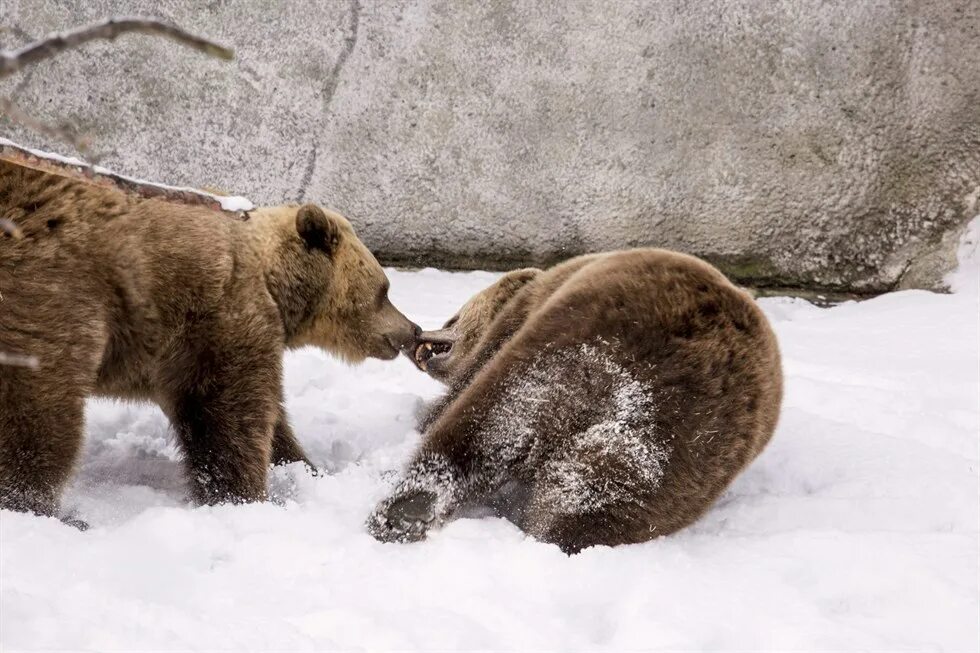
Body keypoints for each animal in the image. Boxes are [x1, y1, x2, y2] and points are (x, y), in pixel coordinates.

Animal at [0, 158, 418, 520]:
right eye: (384, 290)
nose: (411, 329)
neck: (275, 287)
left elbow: (272, 419)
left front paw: (303, 466)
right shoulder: (214, 319)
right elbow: (228, 412)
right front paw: (240, 496)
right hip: (55, 288)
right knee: (42, 404)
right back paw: (34, 503)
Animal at [366, 248, 780, 552]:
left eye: (454, 318)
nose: (418, 337)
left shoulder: (515, 321)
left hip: (563, 344)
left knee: (479, 425)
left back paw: (395, 514)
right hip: (673, 448)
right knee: (590, 500)